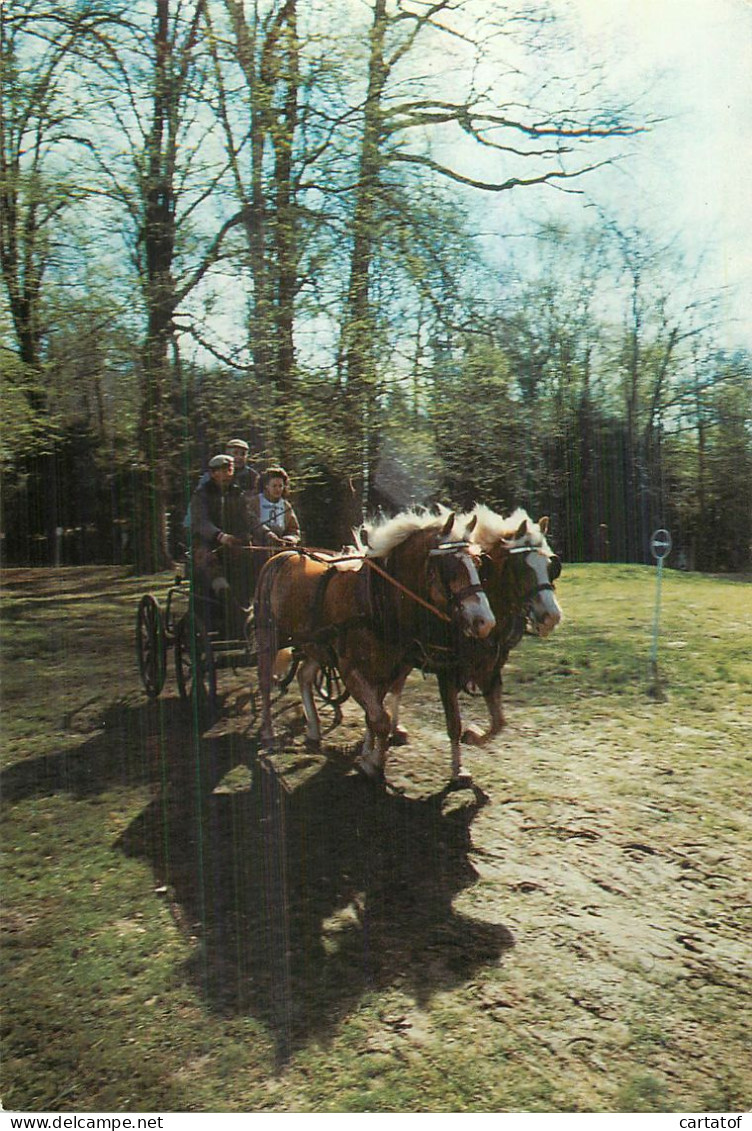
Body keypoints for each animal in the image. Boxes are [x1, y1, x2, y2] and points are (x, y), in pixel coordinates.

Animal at [255, 511, 495, 782]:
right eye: (450, 567)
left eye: (477, 563)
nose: (485, 622)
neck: (375, 600)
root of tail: (283, 554)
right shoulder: (350, 670)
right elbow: (380, 719)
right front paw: (375, 764)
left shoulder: (385, 669)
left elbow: (375, 715)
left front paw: (368, 757)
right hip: (269, 635)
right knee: (265, 681)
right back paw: (268, 733)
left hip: (315, 645)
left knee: (304, 676)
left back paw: (314, 730)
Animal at [384, 508, 560, 782]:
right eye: (522, 567)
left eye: (551, 566)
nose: (552, 616)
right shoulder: (446, 671)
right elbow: (453, 724)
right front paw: (458, 768)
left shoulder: (490, 669)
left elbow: (499, 722)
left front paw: (473, 736)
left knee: (396, 685)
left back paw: (394, 728)